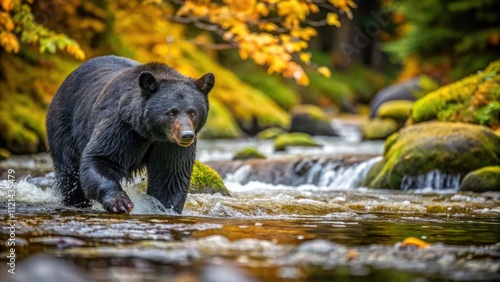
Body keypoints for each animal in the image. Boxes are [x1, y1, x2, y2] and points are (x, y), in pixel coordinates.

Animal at [47, 55, 217, 214]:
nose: (186, 135)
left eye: (193, 112)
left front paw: (166, 207)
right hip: (65, 127)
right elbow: (101, 157)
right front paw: (120, 202)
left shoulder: (169, 145)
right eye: (171, 112)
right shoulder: (122, 126)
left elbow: (171, 176)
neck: (150, 132)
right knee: (70, 172)